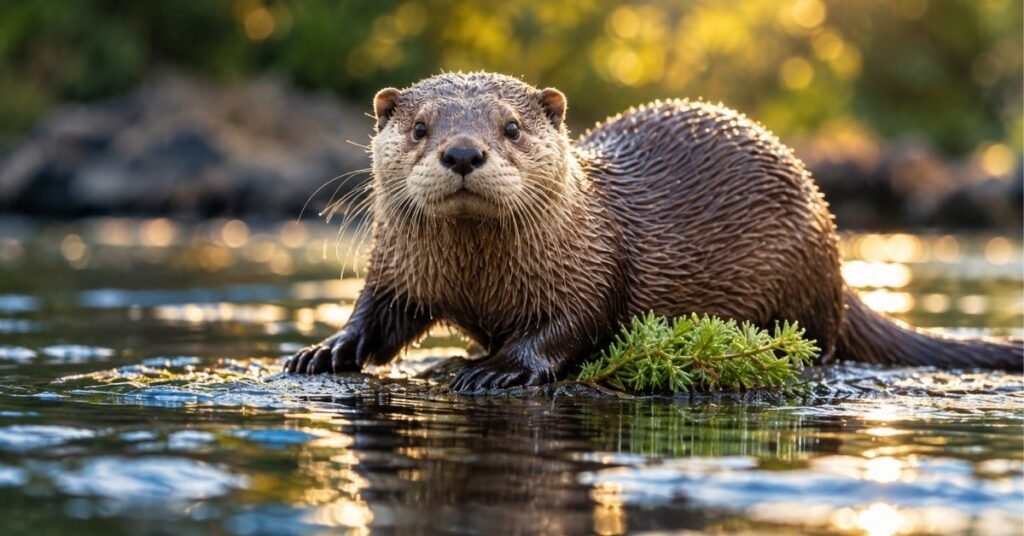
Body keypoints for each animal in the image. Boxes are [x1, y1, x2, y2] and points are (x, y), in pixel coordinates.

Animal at [284, 72, 1022, 391]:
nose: (463, 152)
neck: (479, 282)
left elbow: (574, 324)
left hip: (803, 285)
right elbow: (377, 315)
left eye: (511, 127)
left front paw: (493, 368)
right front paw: (325, 351)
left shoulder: (590, 266)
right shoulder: (399, 268)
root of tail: (839, 257)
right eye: (419, 127)